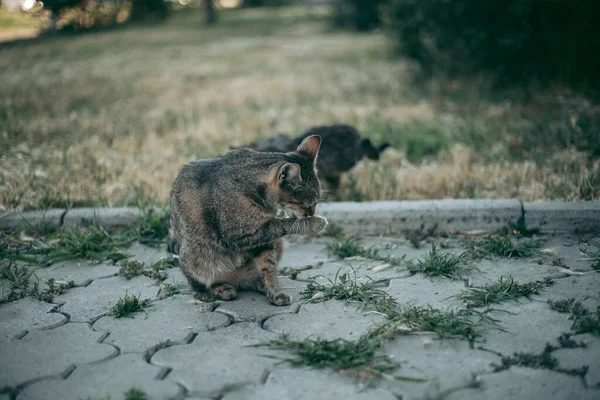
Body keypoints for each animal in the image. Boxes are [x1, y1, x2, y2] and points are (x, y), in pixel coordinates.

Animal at [169, 133, 328, 304]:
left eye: (316, 202)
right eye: (305, 204)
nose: (311, 213)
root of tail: (235, 279)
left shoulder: (262, 241)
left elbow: (268, 266)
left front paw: (274, 291)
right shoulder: (238, 235)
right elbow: (283, 224)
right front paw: (314, 223)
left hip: (276, 245)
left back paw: (258, 284)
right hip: (193, 254)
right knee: (198, 280)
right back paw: (213, 290)